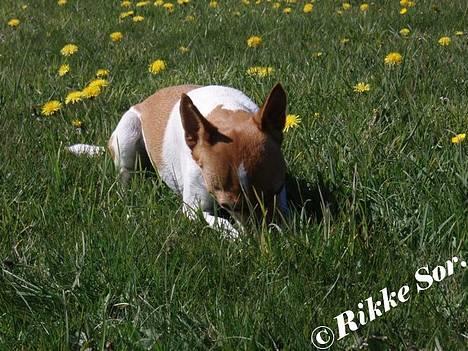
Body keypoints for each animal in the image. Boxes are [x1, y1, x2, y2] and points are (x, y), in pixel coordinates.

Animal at [68, 84, 288, 238]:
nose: (262, 235)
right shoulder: (193, 210)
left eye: (276, 192)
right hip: (127, 135)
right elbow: (222, 223)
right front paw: (240, 238)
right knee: (125, 174)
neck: (226, 112)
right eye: (227, 206)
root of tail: (146, 101)